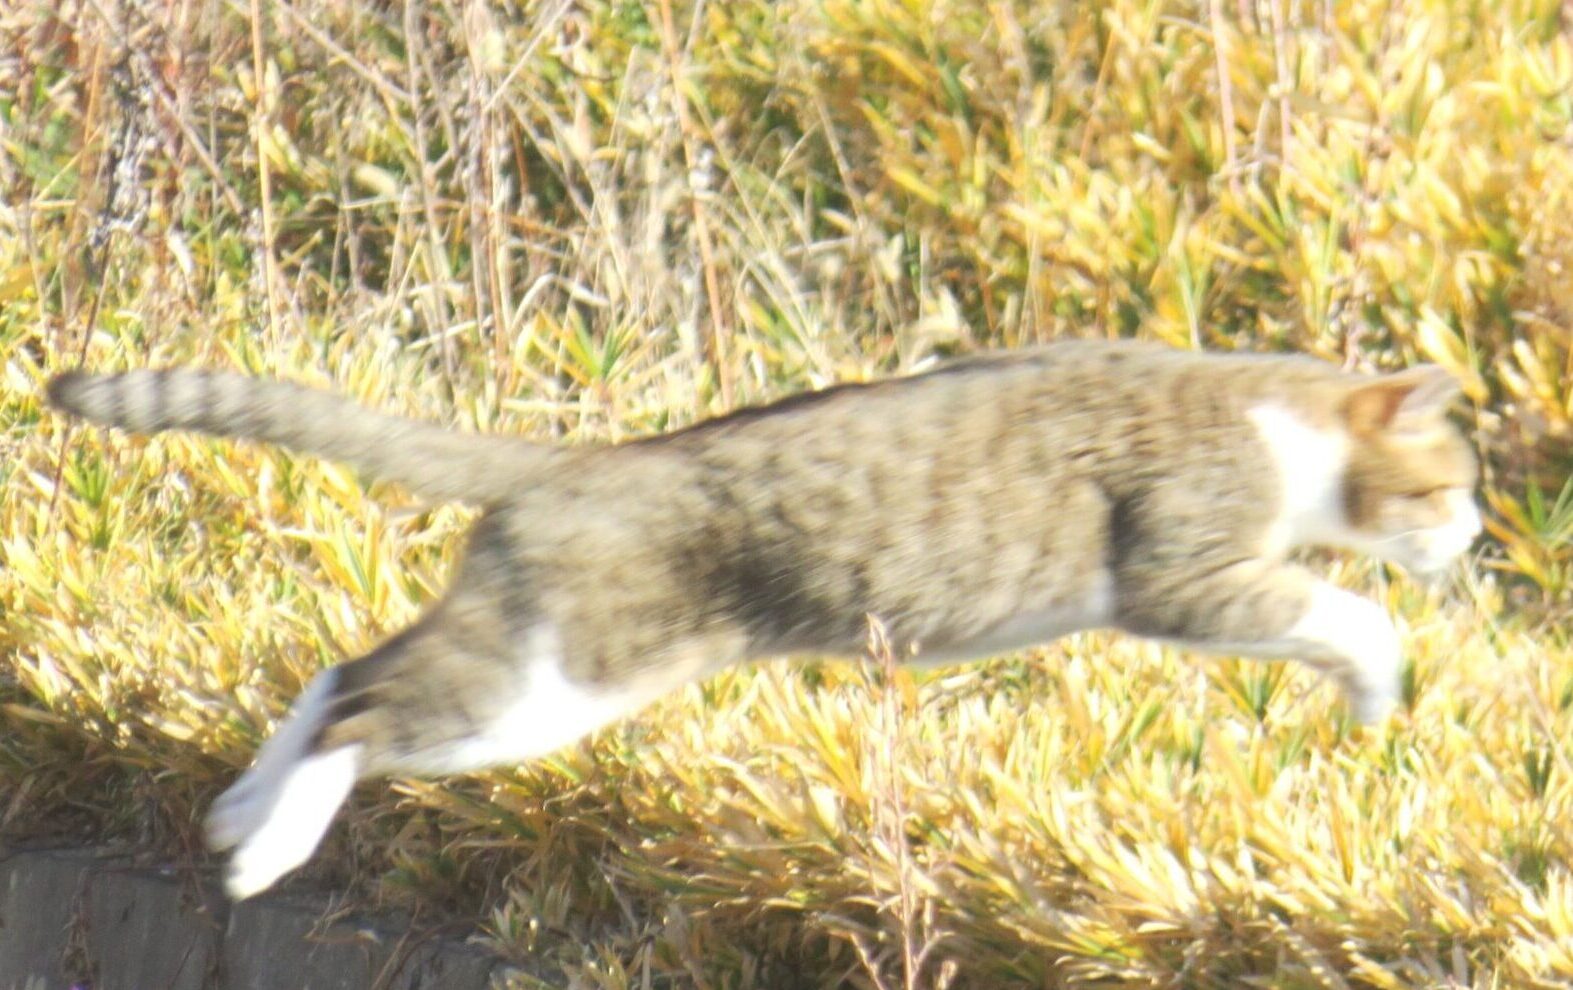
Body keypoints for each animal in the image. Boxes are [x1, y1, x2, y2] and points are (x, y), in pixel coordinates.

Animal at [39, 339, 1484, 893]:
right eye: (1447, 487)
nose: (1473, 537)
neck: (1271, 413)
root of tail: (571, 465)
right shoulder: (1185, 567)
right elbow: (1349, 614)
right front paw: (1377, 690)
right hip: (543, 688)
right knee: (364, 707)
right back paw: (270, 845)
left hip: (518, 649)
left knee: (343, 667)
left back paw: (240, 809)